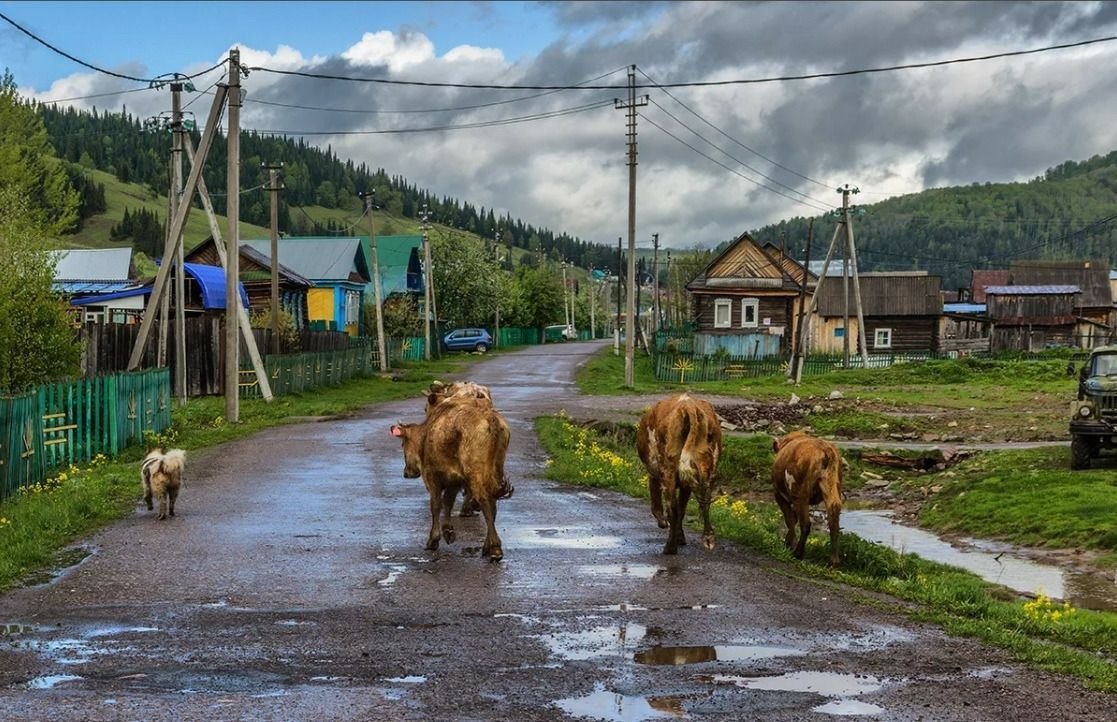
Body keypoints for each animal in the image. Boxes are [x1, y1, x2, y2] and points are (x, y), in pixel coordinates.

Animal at [390, 402, 511, 561]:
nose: (406, 473)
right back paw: (487, 547)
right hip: (496, 470)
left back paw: (495, 548)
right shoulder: (454, 480)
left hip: (475, 472)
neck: (426, 435)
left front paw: (433, 539)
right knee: (493, 504)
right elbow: (448, 502)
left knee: (485, 502)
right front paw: (448, 530)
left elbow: (436, 505)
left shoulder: (432, 476)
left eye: (403, 444)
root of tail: (490, 418)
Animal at [638, 395, 723, 554]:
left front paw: (663, 523)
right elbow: (683, 507)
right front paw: (681, 537)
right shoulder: (687, 484)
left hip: (668, 470)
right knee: (704, 503)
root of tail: (688, 405)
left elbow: (658, 504)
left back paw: (670, 547)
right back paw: (708, 538)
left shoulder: (655, 474)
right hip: (708, 467)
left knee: (672, 508)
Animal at [772, 433, 839, 567]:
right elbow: (793, 518)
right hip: (832, 485)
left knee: (806, 523)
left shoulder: (779, 494)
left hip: (800, 493)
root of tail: (825, 448)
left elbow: (790, 519)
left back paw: (798, 553)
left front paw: (789, 543)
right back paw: (834, 561)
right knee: (833, 516)